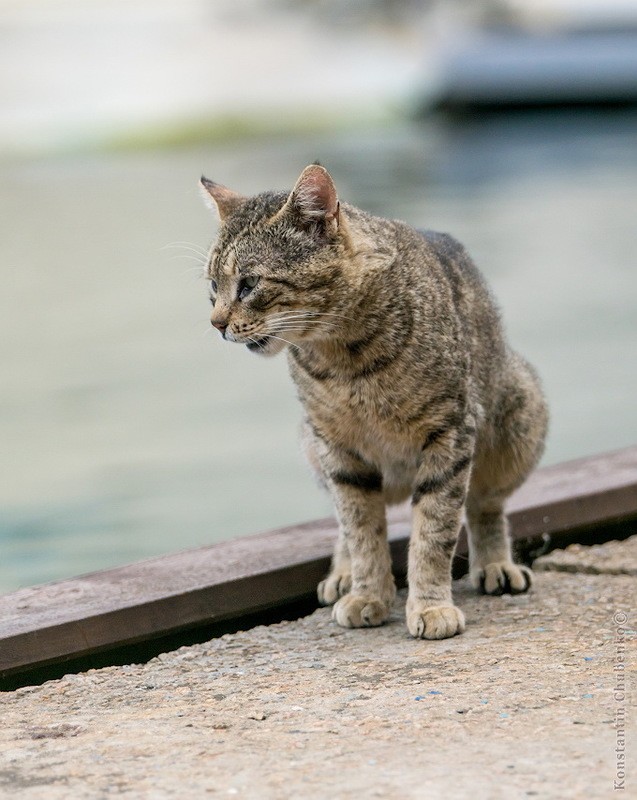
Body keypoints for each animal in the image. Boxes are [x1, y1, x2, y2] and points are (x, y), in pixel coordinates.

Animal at [202, 166, 548, 640]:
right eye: (212, 287)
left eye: (249, 284)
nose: (215, 323)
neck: (343, 358)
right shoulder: (337, 448)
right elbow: (361, 528)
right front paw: (367, 593)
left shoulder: (451, 433)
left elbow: (434, 532)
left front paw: (430, 605)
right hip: (311, 445)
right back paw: (343, 573)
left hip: (519, 417)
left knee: (485, 504)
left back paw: (496, 563)